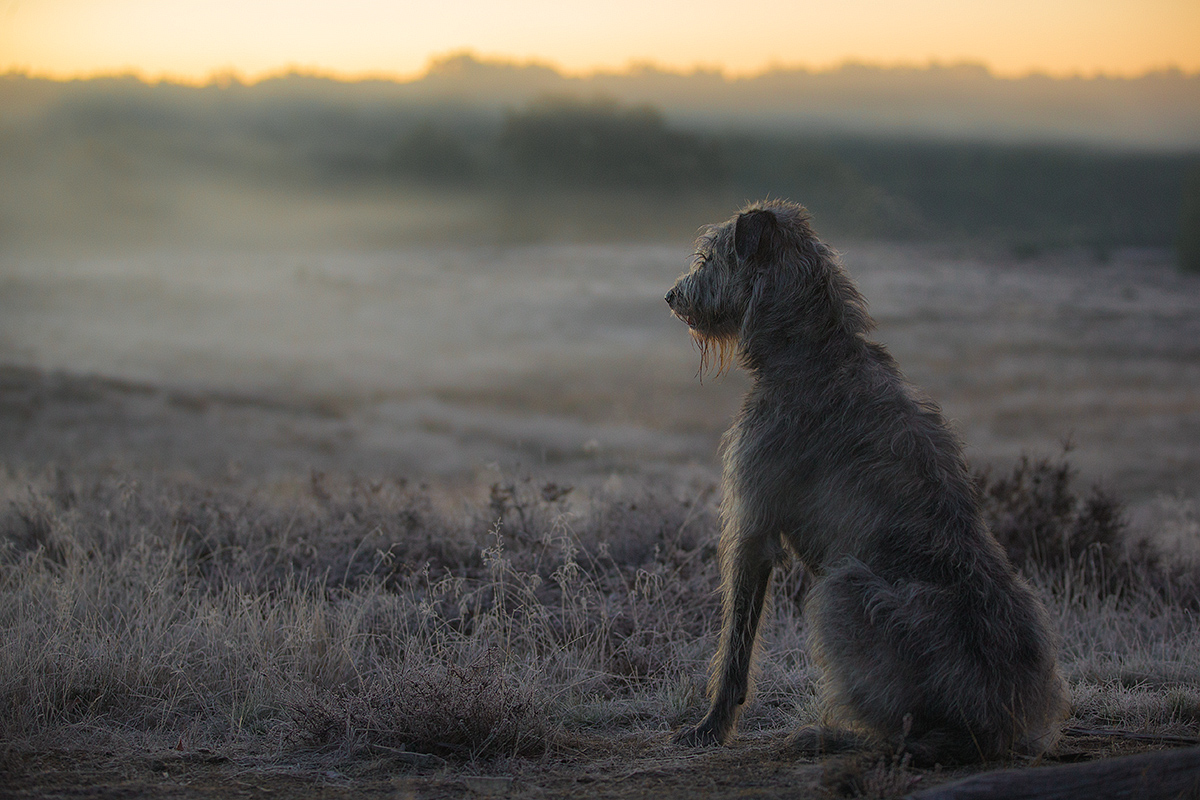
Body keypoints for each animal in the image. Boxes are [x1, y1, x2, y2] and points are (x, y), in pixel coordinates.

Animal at [667, 200, 1070, 762]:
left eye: (710, 257)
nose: (671, 296)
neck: (814, 350)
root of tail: (1008, 722)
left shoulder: (754, 521)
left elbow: (736, 645)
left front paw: (711, 726)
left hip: (846, 592)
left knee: (911, 736)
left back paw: (830, 735)